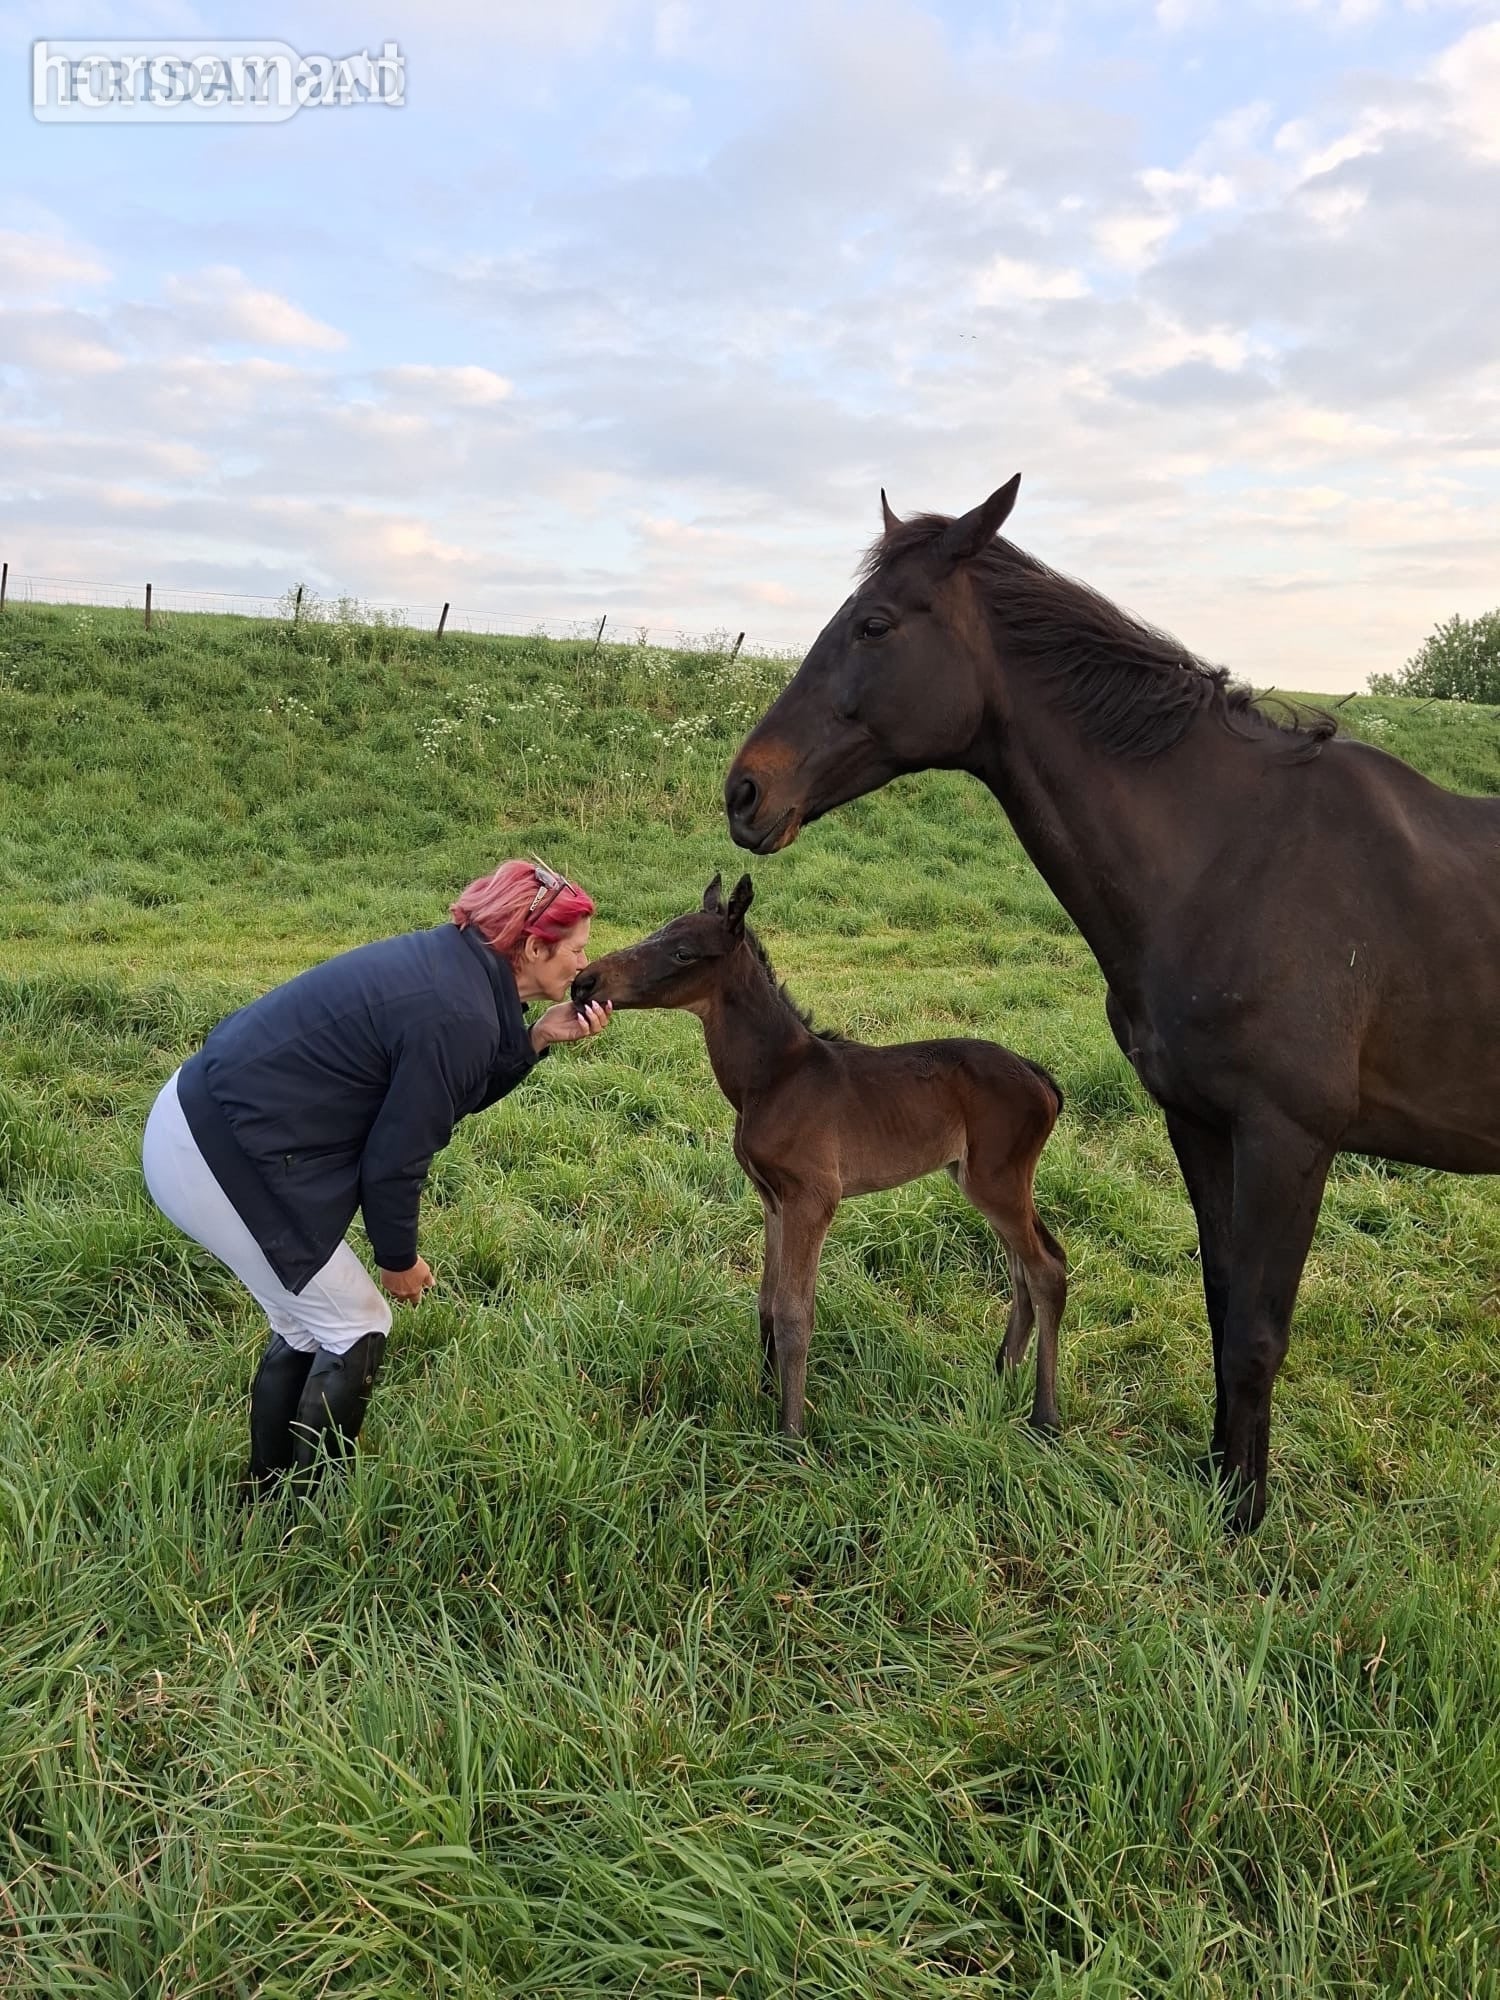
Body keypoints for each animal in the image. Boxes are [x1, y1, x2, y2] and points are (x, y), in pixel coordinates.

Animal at [570, 874, 1067, 1439]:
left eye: (682, 952)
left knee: (1046, 1271)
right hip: (980, 1180)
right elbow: (766, 1302)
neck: (773, 1078)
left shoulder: (813, 1197)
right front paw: (764, 1394)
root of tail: (1040, 1077)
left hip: (997, 1180)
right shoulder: (772, 1198)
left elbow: (794, 1313)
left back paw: (1044, 1415)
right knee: (1024, 1270)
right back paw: (1000, 1375)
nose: (584, 983)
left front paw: (790, 1434)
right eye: (659, 930)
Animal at [723, 475, 1500, 1531]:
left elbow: (1258, 1331)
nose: (743, 792)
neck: (1236, 856)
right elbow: (1223, 1302)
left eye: (874, 624)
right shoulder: (1200, 1124)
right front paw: (1219, 1478)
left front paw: (1244, 1522)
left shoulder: (1289, 1138)